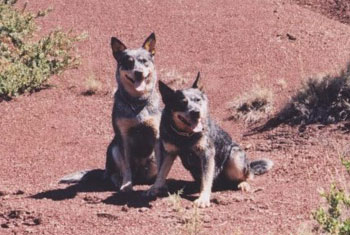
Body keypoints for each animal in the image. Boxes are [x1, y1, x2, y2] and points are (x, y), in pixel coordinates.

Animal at [104, 33, 161, 192]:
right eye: (129, 62)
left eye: (144, 61)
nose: (138, 72)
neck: (137, 103)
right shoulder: (123, 136)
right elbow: (126, 166)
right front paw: (126, 184)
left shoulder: (156, 133)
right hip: (114, 149)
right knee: (112, 173)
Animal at [146, 73, 274, 207]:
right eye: (182, 102)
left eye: (198, 100)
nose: (196, 112)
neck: (185, 136)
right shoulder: (169, 153)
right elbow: (161, 172)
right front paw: (155, 188)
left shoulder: (206, 154)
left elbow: (206, 180)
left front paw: (203, 198)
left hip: (235, 156)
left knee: (247, 176)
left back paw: (243, 183)